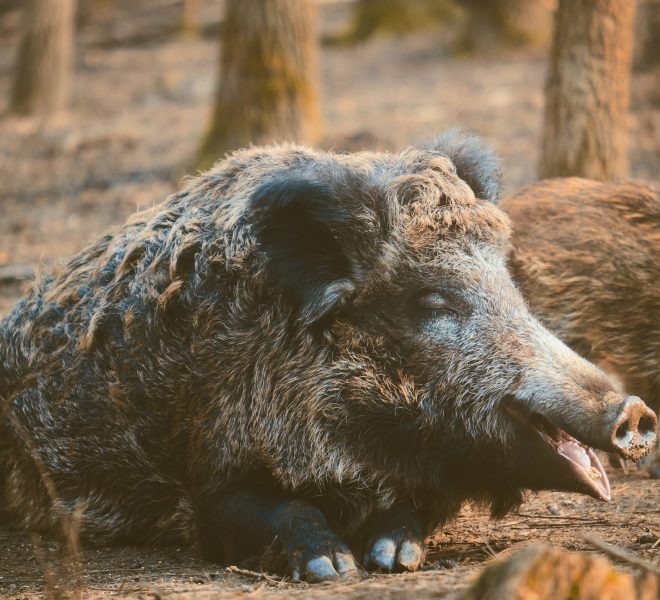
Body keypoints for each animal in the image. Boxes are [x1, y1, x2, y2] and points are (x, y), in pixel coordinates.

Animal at [0, 135, 656, 581]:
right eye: (434, 301)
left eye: (510, 284)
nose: (633, 412)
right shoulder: (206, 478)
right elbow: (274, 508)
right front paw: (335, 569)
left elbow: (407, 510)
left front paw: (394, 560)